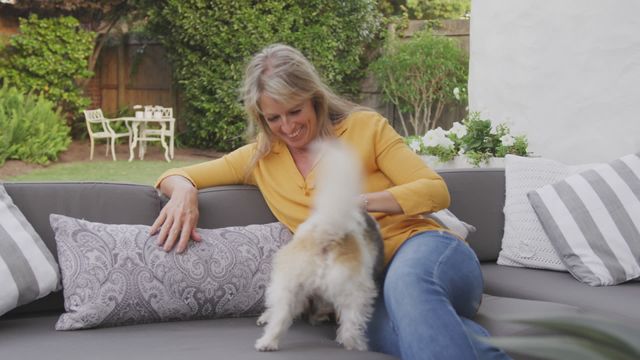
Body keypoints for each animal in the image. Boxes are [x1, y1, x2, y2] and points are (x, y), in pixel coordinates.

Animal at [256, 139, 384, 352]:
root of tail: (328, 236)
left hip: (287, 286)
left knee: (279, 318)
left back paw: (267, 343)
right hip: (356, 294)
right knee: (350, 327)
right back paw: (356, 345)